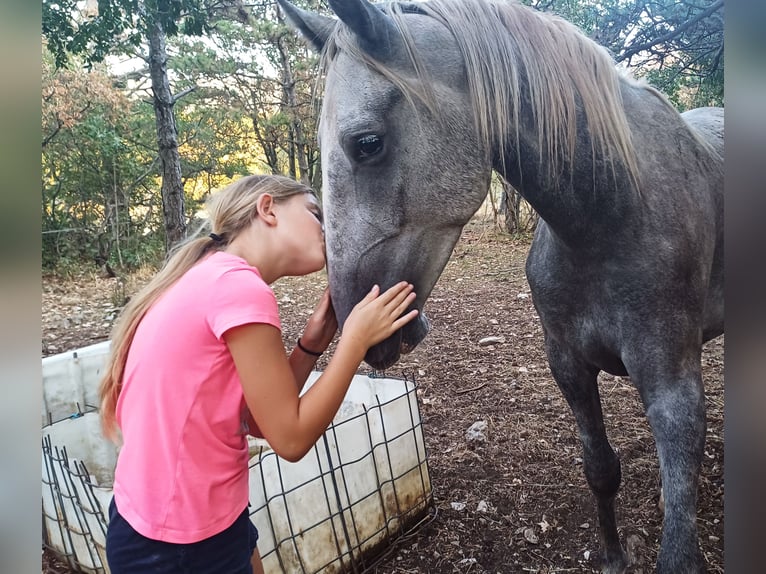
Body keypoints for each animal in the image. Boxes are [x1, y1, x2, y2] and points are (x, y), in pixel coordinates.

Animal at [278, 1, 728, 572]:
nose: (361, 326)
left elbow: (679, 543)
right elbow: (602, 470)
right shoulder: (568, 365)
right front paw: (612, 556)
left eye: (367, 144)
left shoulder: (672, 384)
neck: (615, 216)